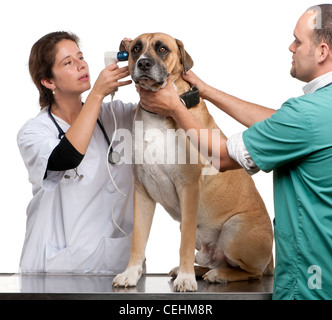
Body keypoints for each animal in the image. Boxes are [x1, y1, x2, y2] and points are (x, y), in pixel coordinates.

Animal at [111, 33, 272, 292]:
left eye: (162, 49)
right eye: (135, 48)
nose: (144, 63)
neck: (159, 115)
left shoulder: (188, 187)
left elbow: (184, 241)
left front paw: (185, 279)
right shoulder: (143, 190)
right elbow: (138, 238)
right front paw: (130, 274)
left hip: (235, 228)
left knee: (253, 273)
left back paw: (217, 274)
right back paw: (199, 270)